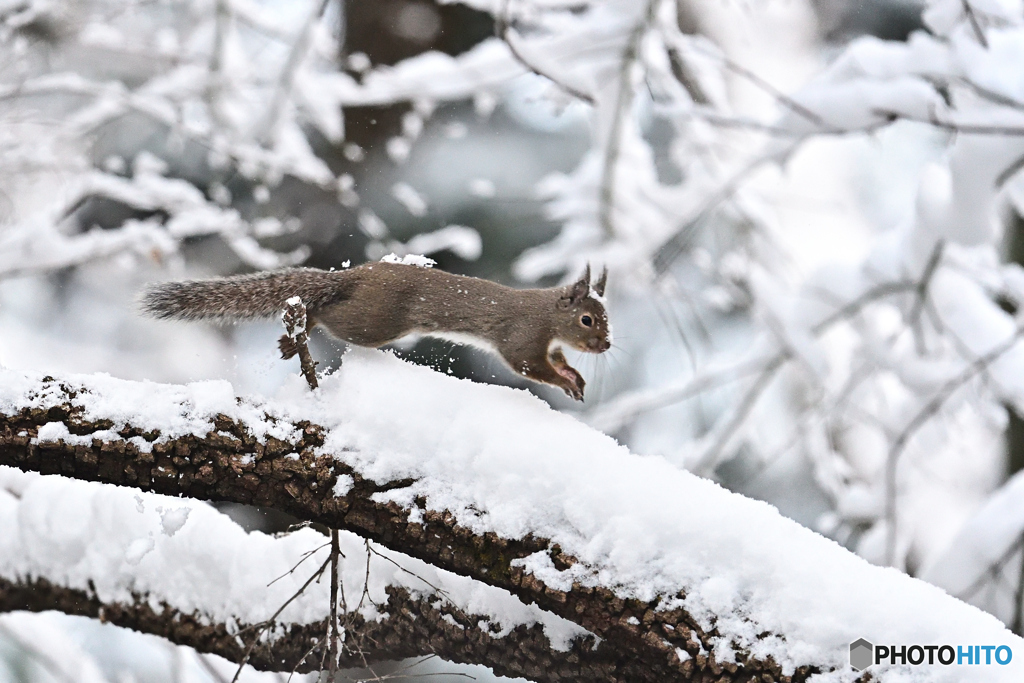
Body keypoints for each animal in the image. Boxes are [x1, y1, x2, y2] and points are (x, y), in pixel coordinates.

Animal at [140, 262, 610, 401]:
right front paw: (565, 383)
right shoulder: (522, 337)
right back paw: (299, 332)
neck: (548, 316)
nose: (605, 344)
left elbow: (557, 360)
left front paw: (574, 375)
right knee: (327, 315)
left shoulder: (548, 344)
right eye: (587, 319)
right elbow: (527, 366)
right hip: (373, 321)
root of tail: (358, 275)